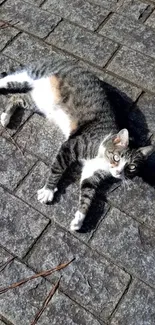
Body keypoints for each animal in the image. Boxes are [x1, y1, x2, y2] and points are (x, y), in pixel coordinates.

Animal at [0, 58, 153, 230]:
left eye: (132, 167)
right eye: (116, 157)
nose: (119, 172)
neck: (102, 152)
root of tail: (65, 60)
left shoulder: (92, 175)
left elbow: (87, 195)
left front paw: (79, 219)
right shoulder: (71, 145)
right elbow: (57, 168)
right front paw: (48, 190)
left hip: (37, 102)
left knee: (16, 97)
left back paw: (6, 117)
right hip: (32, 74)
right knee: (9, 80)